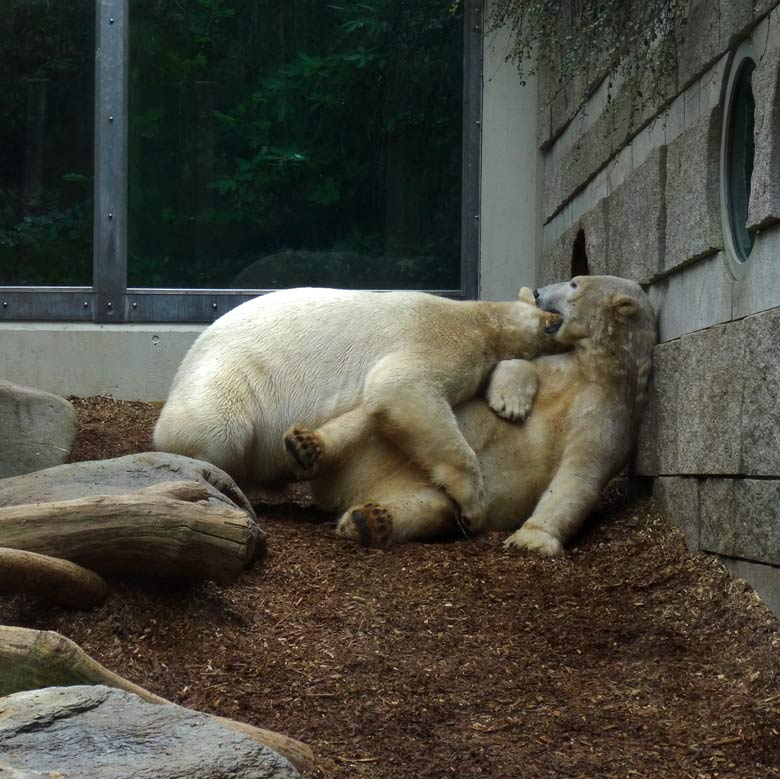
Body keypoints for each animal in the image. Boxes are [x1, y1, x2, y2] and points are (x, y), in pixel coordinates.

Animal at [154, 286, 556, 532]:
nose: (553, 316)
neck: (480, 318)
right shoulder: (442, 341)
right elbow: (397, 388)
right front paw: (473, 505)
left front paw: (511, 402)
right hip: (229, 378)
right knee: (216, 426)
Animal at [284, 276, 656, 556]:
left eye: (575, 283)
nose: (538, 293)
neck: (596, 371)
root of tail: (344, 490)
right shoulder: (554, 369)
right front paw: (511, 404)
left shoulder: (608, 418)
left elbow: (580, 475)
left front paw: (530, 540)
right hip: (370, 444)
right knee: (367, 417)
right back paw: (308, 445)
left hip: (414, 489)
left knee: (433, 507)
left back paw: (370, 520)